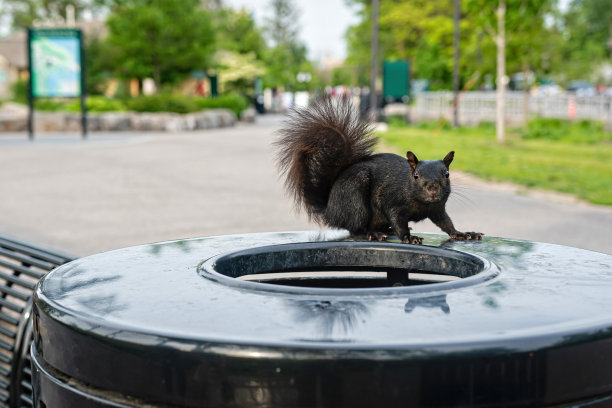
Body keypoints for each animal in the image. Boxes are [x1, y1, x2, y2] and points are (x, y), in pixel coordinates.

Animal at [276, 95, 482, 242]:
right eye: (416, 175)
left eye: (446, 174)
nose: (432, 189)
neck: (422, 203)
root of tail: (330, 209)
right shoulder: (392, 201)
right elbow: (398, 220)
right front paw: (408, 237)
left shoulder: (437, 208)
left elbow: (446, 223)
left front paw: (462, 233)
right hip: (355, 198)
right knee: (354, 229)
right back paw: (371, 234)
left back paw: (385, 231)